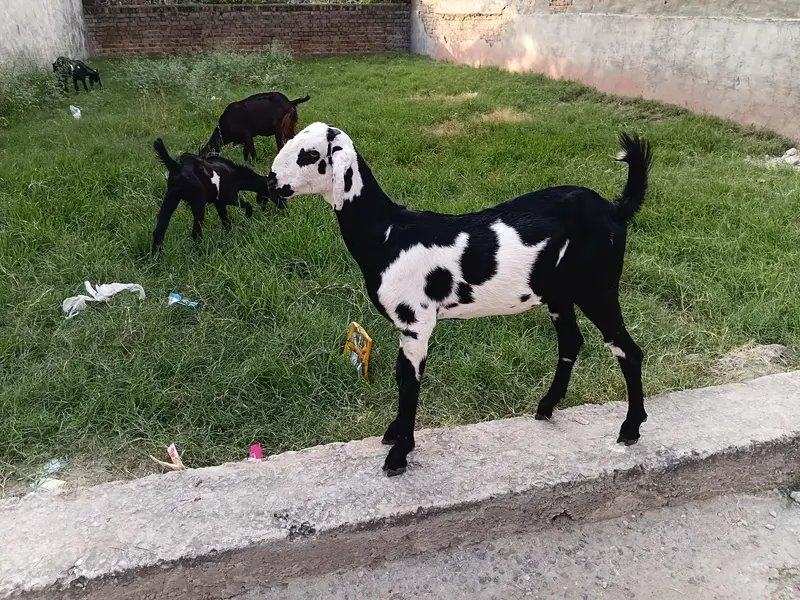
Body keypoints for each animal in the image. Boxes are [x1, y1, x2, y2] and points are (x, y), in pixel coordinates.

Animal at [151, 138, 286, 252]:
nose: (286, 209)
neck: (236, 174)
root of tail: (177, 167)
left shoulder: (219, 204)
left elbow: (226, 221)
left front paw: (228, 236)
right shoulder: (230, 198)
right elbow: (246, 204)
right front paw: (248, 216)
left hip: (171, 199)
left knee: (159, 231)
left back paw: (156, 257)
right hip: (198, 202)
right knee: (196, 232)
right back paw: (200, 251)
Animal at [267, 122, 653, 476]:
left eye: (309, 155)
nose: (271, 181)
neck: (388, 235)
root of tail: (614, 210)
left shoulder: (416, 322)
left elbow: (410, 384)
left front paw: (399, 455)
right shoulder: (405, 328)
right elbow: (401, 376)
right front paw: (393, 435)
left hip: (597, 287)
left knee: (627, 350)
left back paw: (630, 429)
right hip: (560, 293)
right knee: (572, 341)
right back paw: (546, 407)